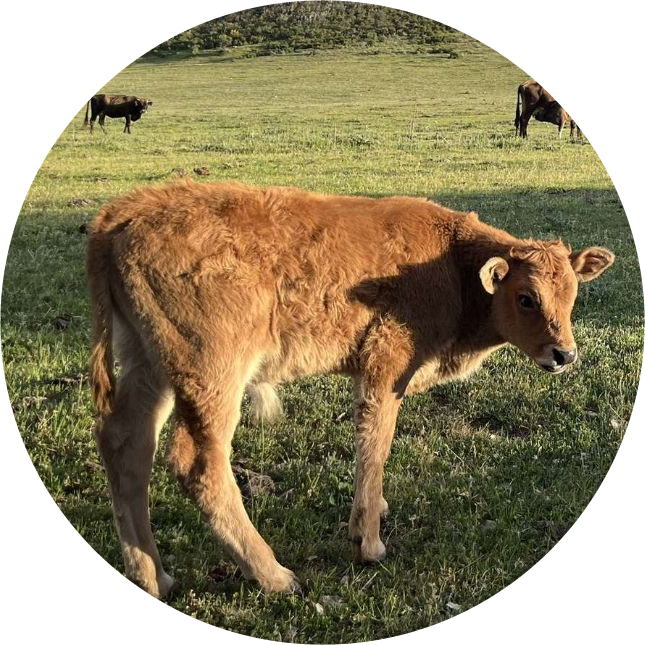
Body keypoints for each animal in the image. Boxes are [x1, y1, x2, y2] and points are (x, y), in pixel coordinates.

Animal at [87, 181, 614, 598]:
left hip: (148, 365)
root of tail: (121, 214)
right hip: (212, 375)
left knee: (126, 445)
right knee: (198, 462)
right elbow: (374, 447)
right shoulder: (385, 371)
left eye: (571, 294)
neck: (451, 263)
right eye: (526, 298)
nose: (563, 355)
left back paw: (154, 579)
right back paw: (275, 576)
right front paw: (369, 541)